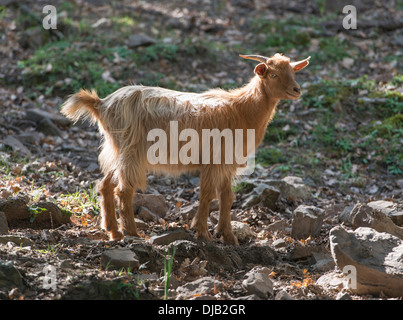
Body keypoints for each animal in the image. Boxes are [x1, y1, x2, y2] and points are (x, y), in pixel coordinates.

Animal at [60, 53, 312, 245]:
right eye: (273, 74)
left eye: (293, 72)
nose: (296, 90)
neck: (241, 109)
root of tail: (102, 104)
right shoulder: (214, 159)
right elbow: (208, 194)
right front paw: (203, 233)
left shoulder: (227, 162)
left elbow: (227, 196)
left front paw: (228, 236)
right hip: (132, 151)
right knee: (124, 190)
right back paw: (131, 232)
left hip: (118, 150)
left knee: (105, 185)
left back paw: (113, 231)